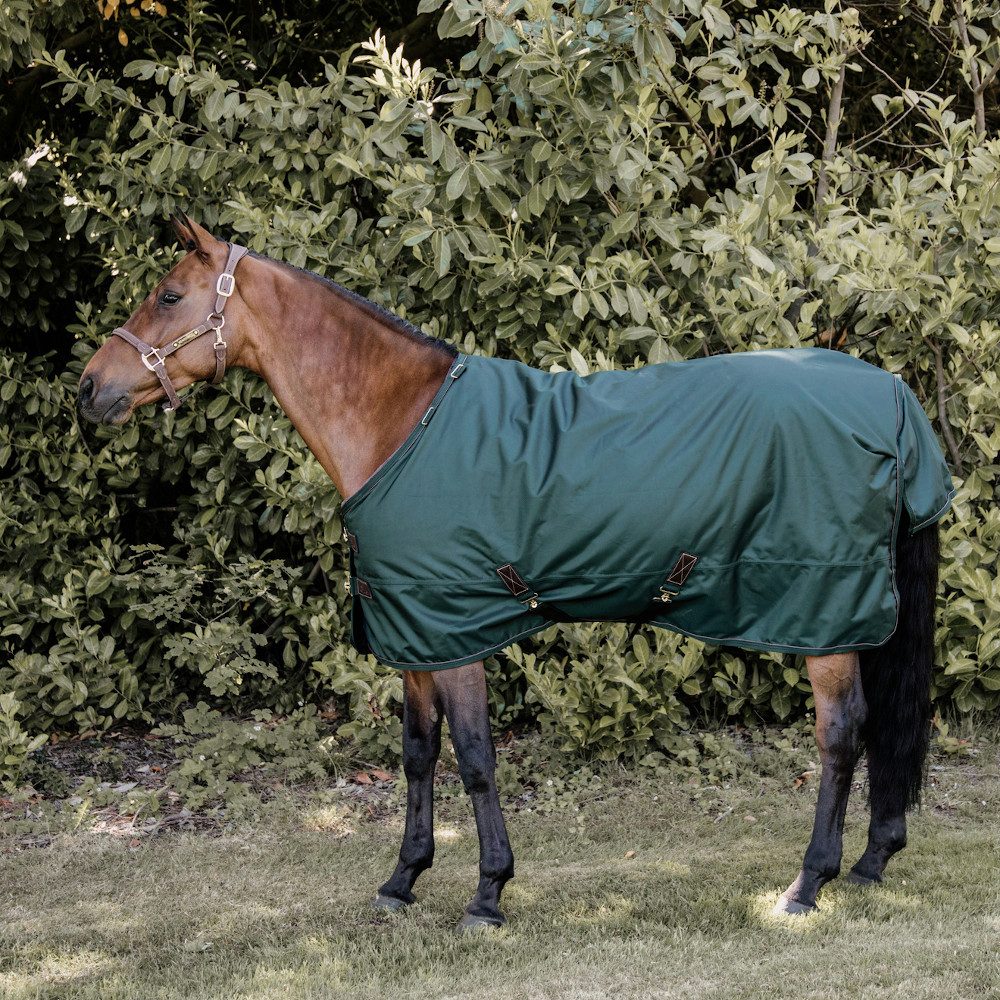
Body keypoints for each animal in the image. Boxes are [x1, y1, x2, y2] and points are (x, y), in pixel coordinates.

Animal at [78, 214, 949, 931]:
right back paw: (871, 861)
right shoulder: (415, 635)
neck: (401, 423)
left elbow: (475, 758)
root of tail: (890, 396)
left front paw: (488, 894)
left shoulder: (455, 629)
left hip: (824, 616)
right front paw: (402, 881)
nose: (90, 390)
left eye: (169, 295)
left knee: (842, 733)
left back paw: (808, 884)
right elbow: (419, 755)